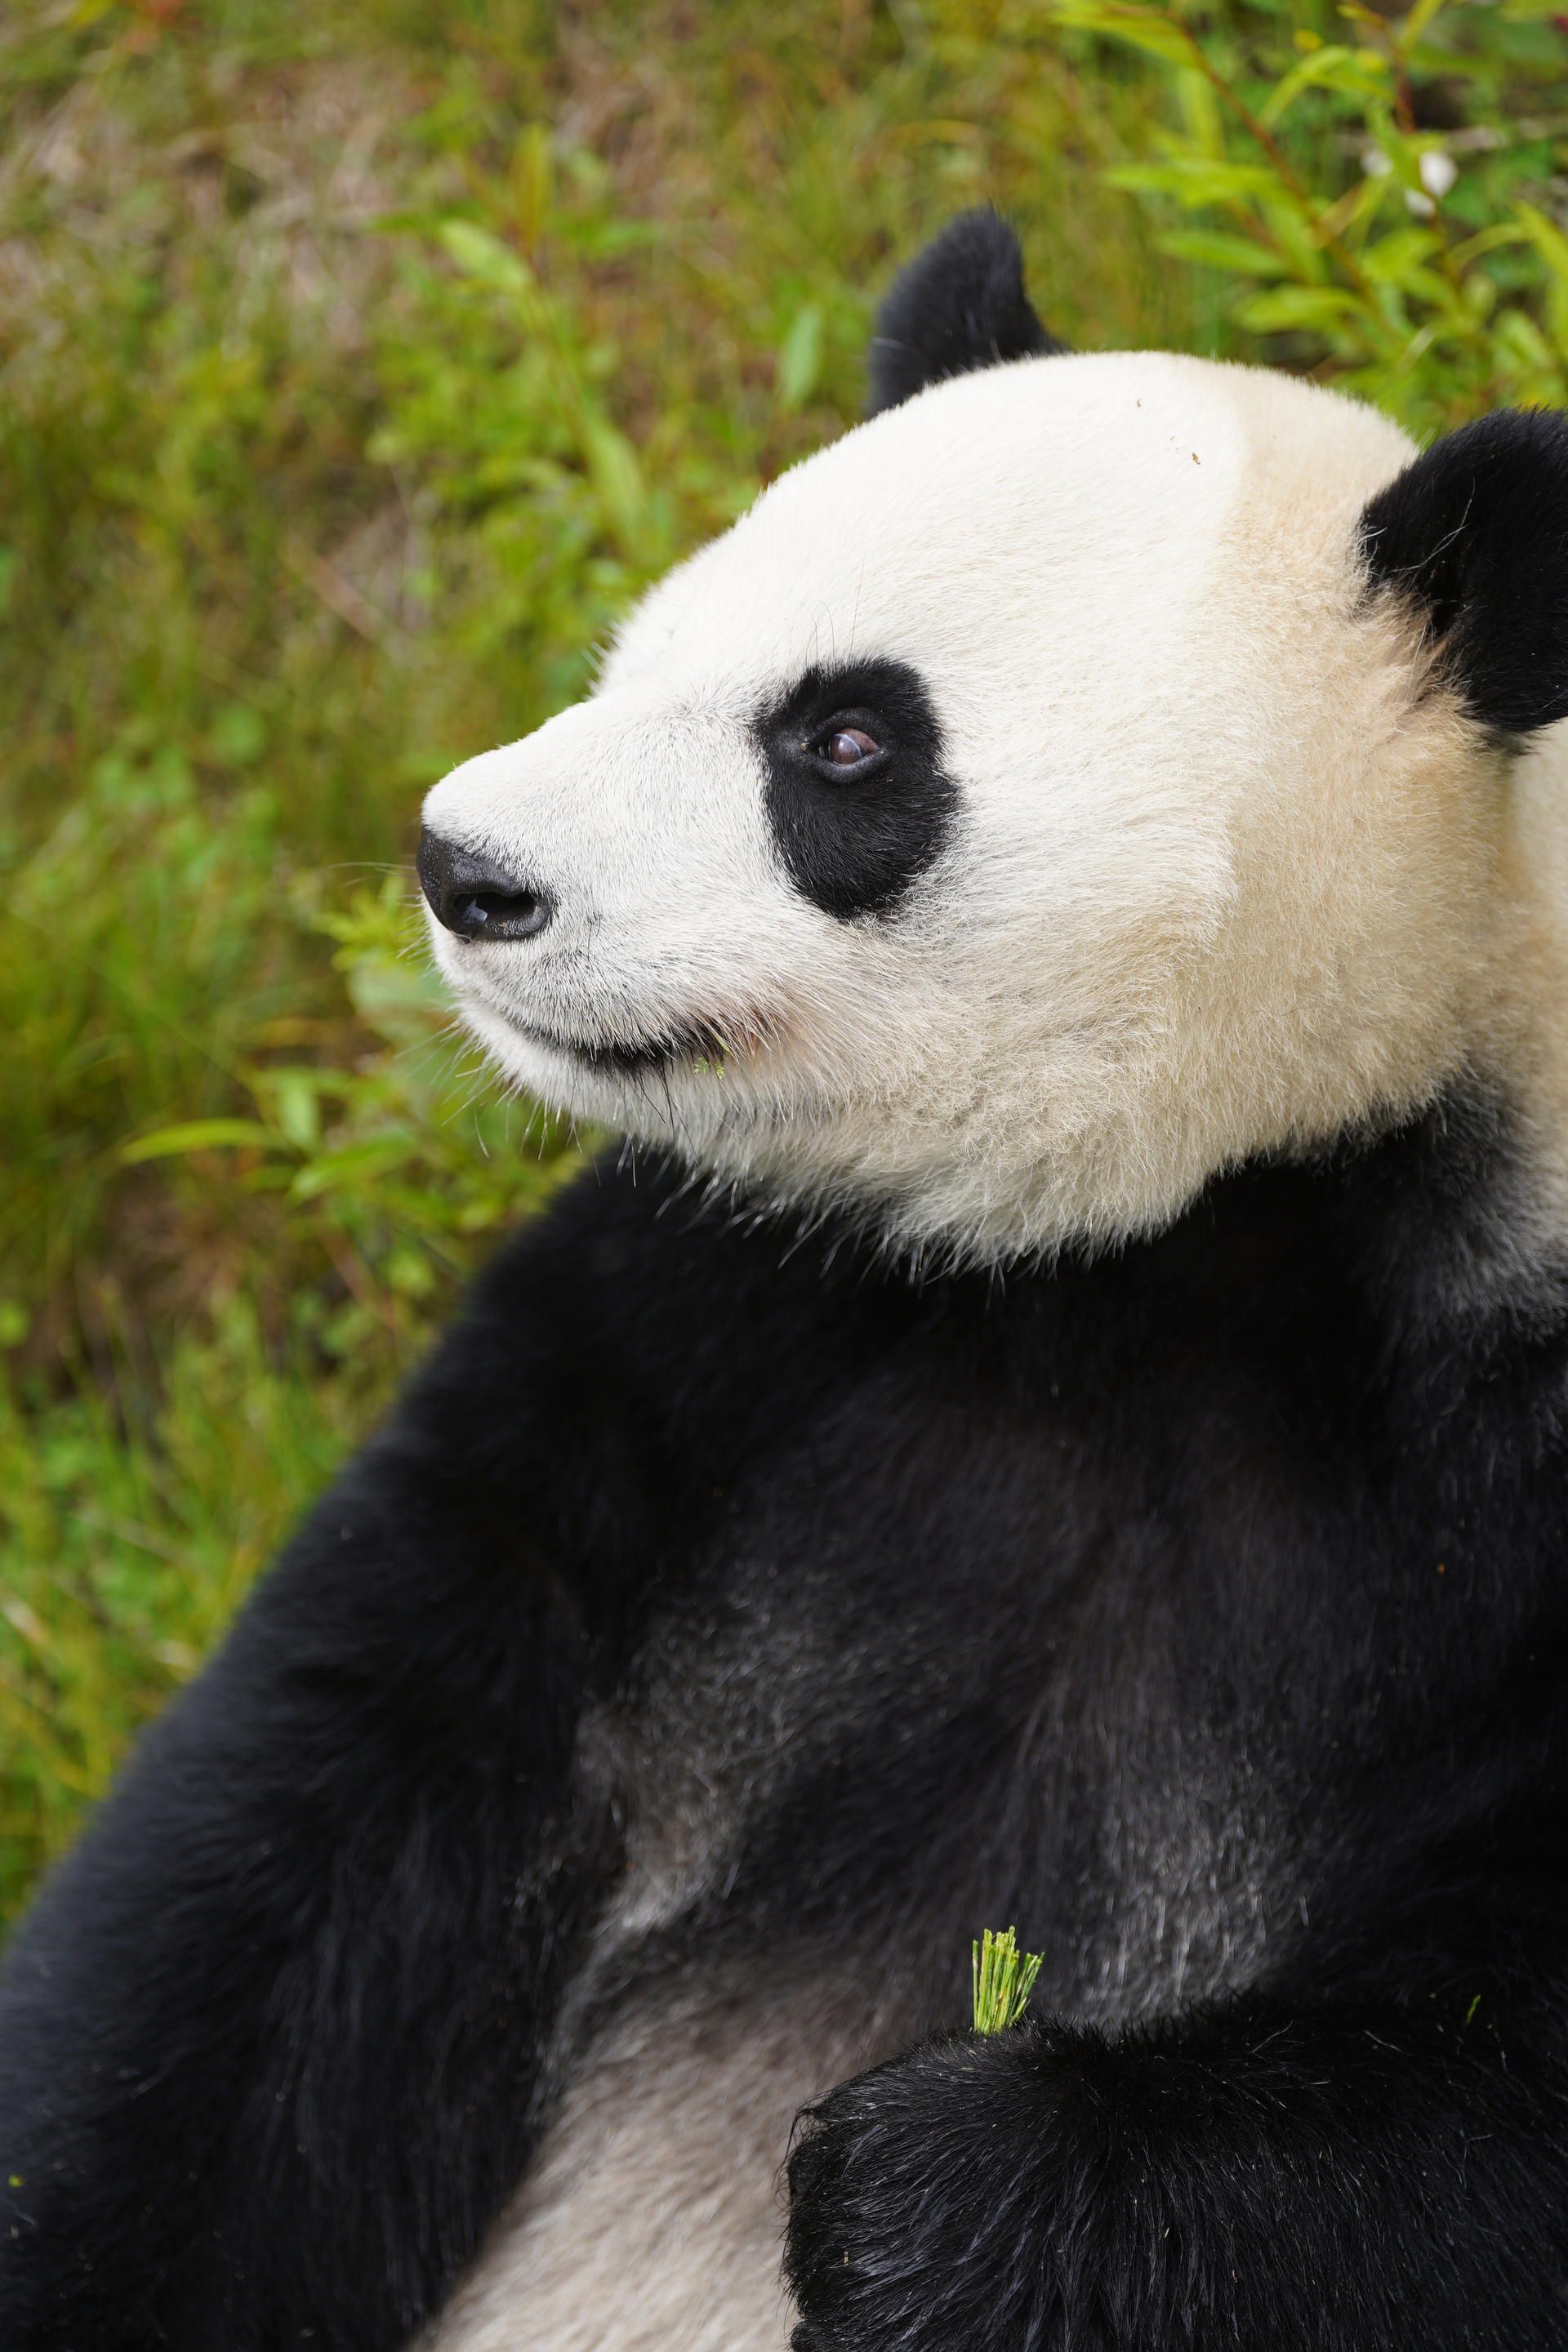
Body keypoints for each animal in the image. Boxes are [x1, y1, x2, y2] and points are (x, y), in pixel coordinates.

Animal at [5, 207, 1568, 2352]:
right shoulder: (711, 1328)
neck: (1188, 1246)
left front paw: (931, 2203)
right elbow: (288, 1855)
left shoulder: (1500, 1431)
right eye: (650, 643)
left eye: (844, 742)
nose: (466, 867)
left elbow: (1486, 2098)